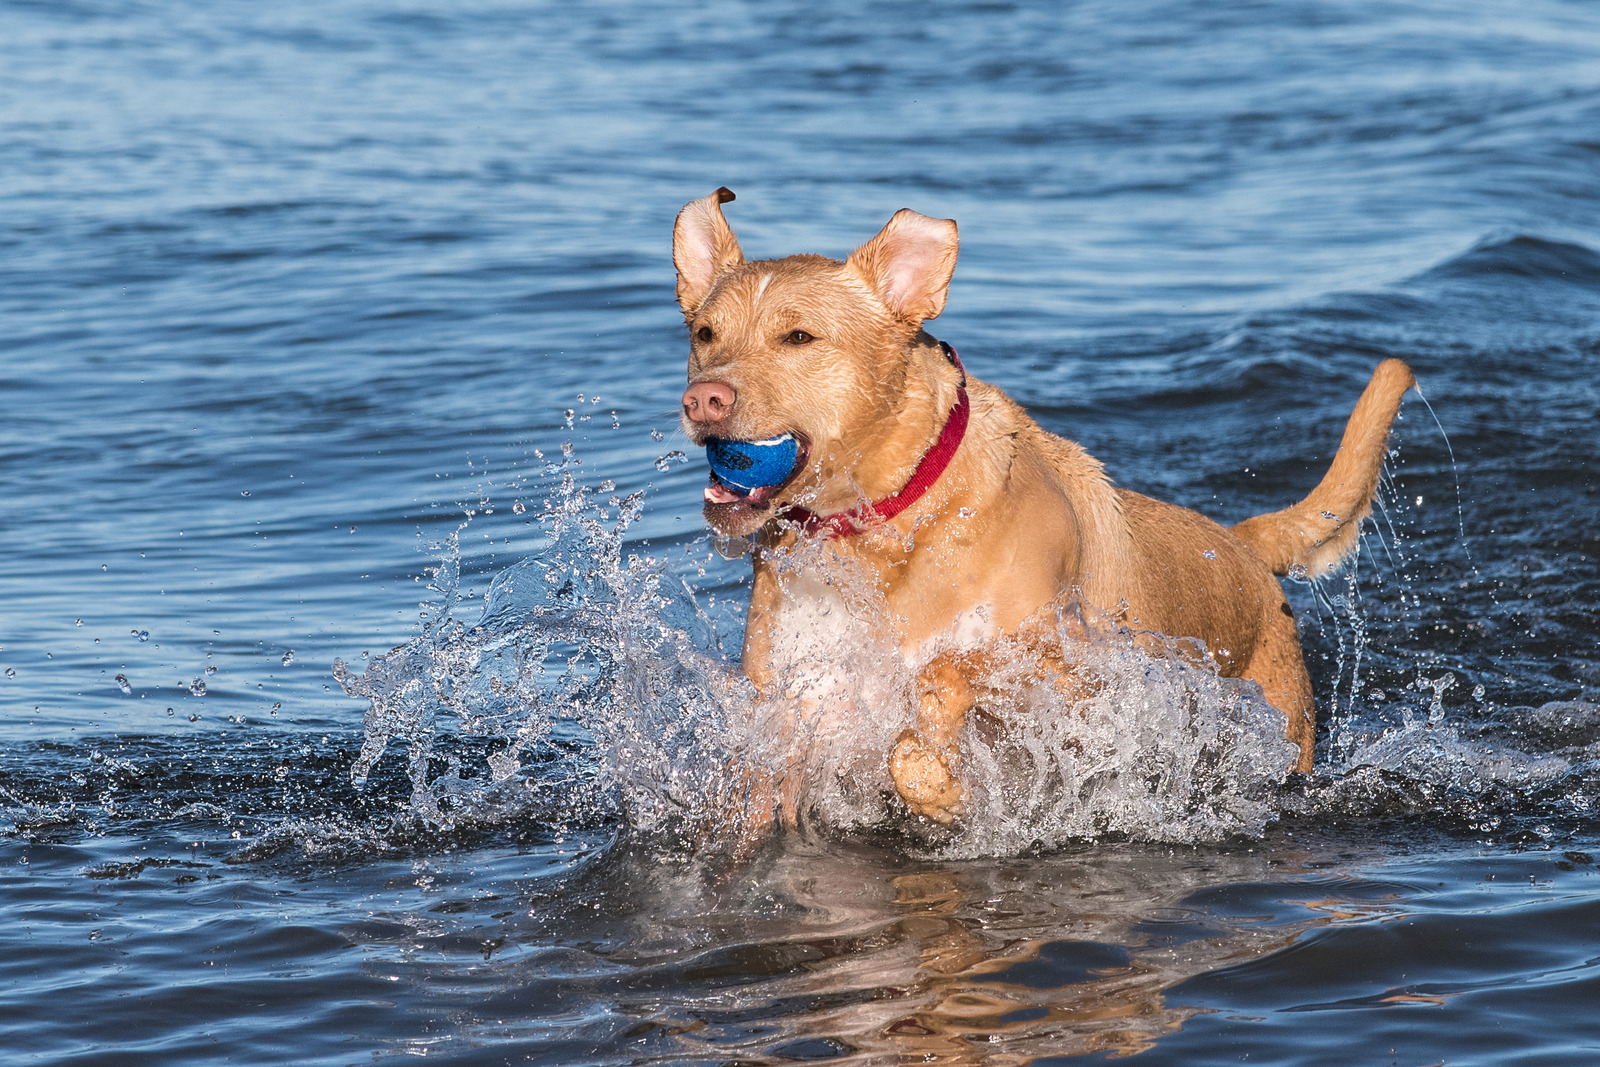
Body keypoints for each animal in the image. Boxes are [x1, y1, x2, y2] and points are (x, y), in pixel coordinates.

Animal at [672, 189, 1414, 825]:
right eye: (705, 334)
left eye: (799, 337)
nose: (703, 399)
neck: (885, 530)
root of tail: (1243, 544)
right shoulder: (790, 707)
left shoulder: (1080, 678)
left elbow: (943, 674)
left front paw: (938, 783)